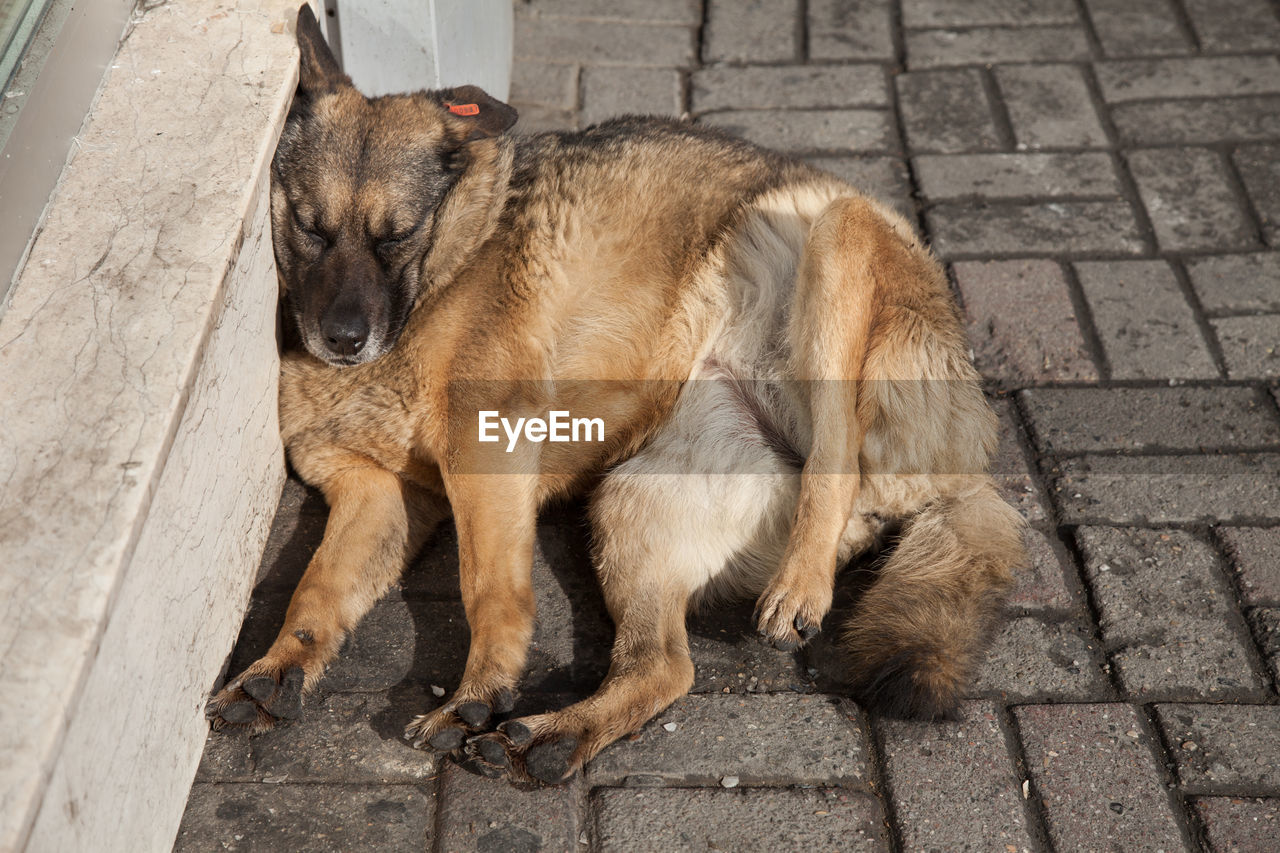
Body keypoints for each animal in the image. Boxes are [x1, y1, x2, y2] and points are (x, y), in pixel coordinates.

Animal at [209, 4, 1029, 783]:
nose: (343, 339)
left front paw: (481, 687)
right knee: (663, 667)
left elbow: (488, 589)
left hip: (837, 233)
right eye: (310, 227)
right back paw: (551, 739)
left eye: (396, 234)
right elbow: (316, 589)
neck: (449, 263)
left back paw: (799, 586)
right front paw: (278, 664)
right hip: (625, 505)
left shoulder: (485, 454)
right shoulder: (376, 491)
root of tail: (966, 470)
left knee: (837, 464)